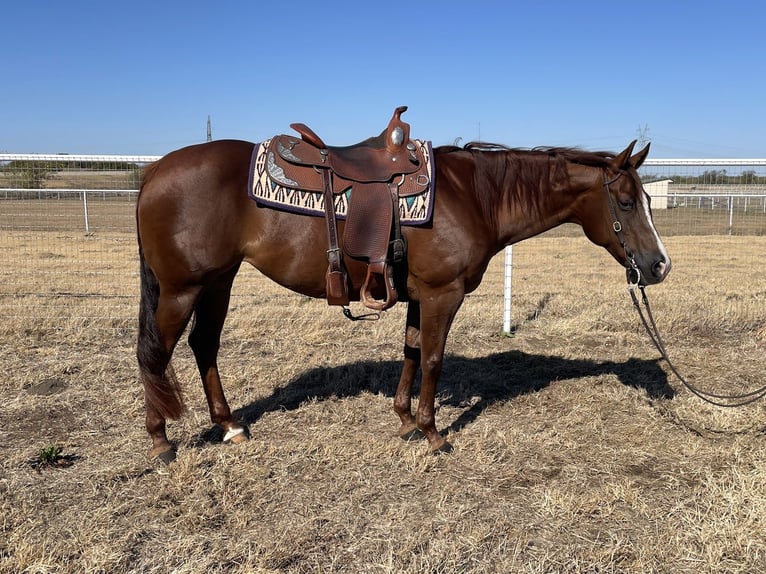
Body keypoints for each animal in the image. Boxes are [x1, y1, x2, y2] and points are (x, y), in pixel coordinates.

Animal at [136, 136, 671, 463]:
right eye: (626, 202)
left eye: (648, 200)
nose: (659, 267)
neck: (472, 195)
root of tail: (155, 172)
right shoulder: (442, 294)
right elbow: (432, 359)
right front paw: (434, 434)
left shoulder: (419, 296)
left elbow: (412, 352)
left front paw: (406, 421)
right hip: (183, 289)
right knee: (155, 355)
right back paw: (161, 442)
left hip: (218, 282)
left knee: (204, 346)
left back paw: (229, 426)